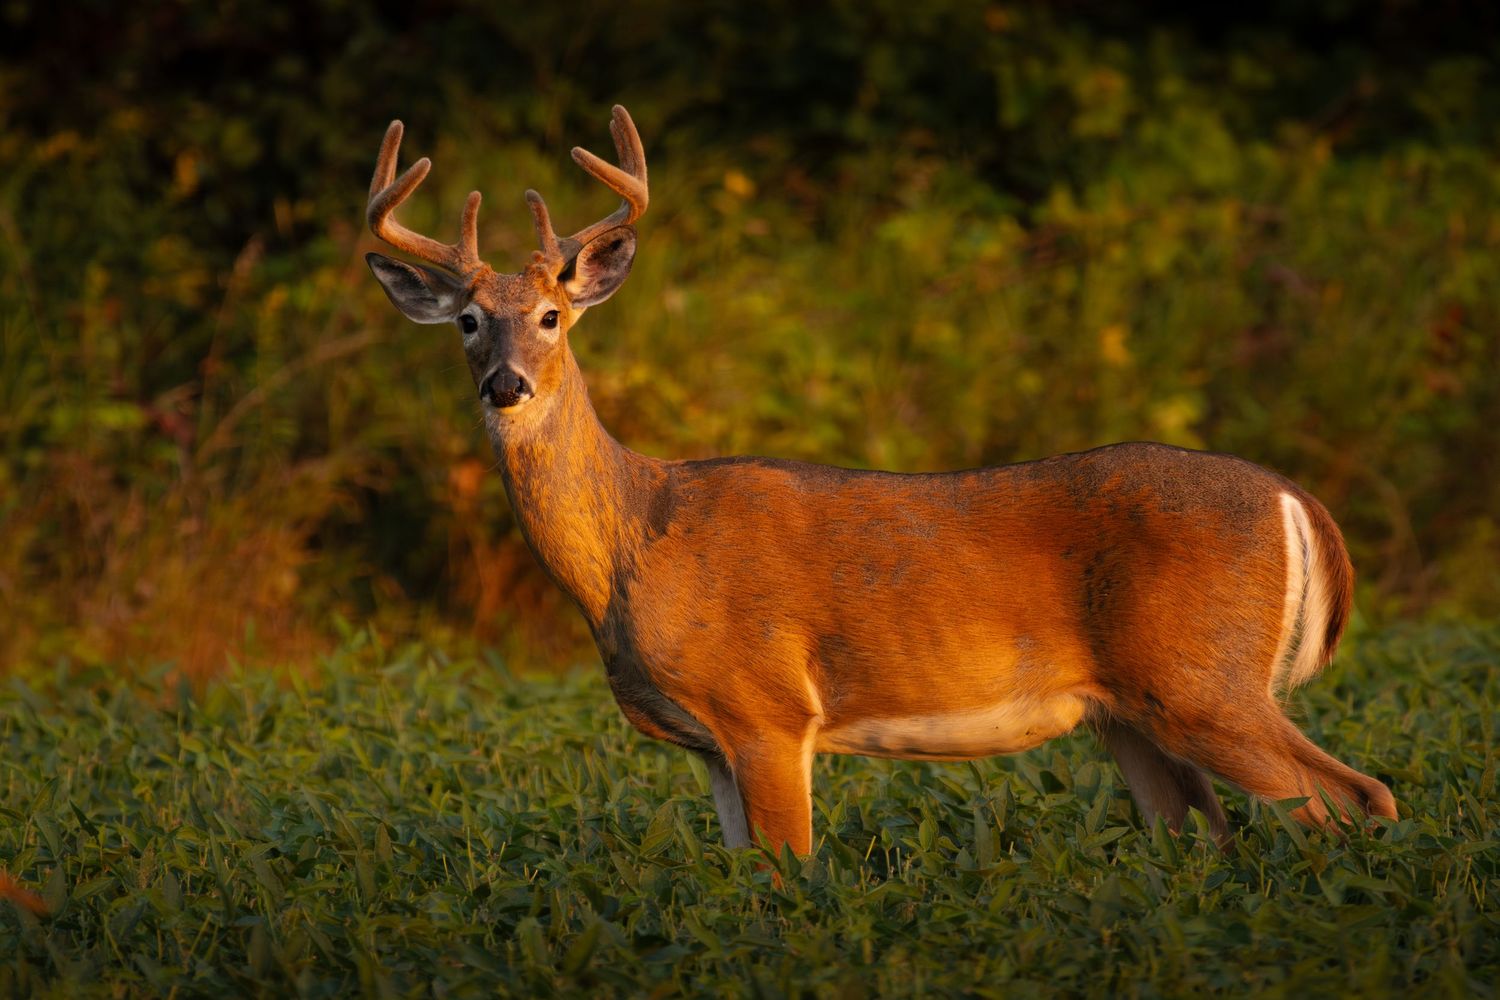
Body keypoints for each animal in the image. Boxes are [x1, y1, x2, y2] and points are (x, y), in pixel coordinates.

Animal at [364, 105, 1398, 858]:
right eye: (467, 322)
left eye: (551, 315)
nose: (507, 384)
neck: (635, 545)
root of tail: (1297, 501)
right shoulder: (709, 746)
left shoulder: (768, 708)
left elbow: (789, 879)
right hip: (1133, 715)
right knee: (1210, 836)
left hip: (1206, 680)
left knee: (1357, 798)